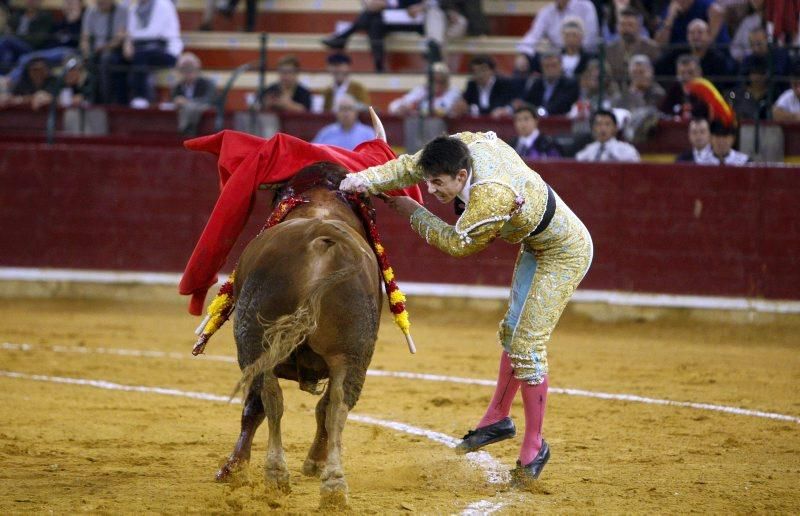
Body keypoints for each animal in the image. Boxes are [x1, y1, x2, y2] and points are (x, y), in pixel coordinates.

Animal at [217, 163, 382, 510]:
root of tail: (320, 241)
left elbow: (254, 407)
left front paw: (234, 468)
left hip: (255, 341)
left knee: (269, 398)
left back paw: (277, 475)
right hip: (352, 353)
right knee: (336, 407)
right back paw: (333, 486)